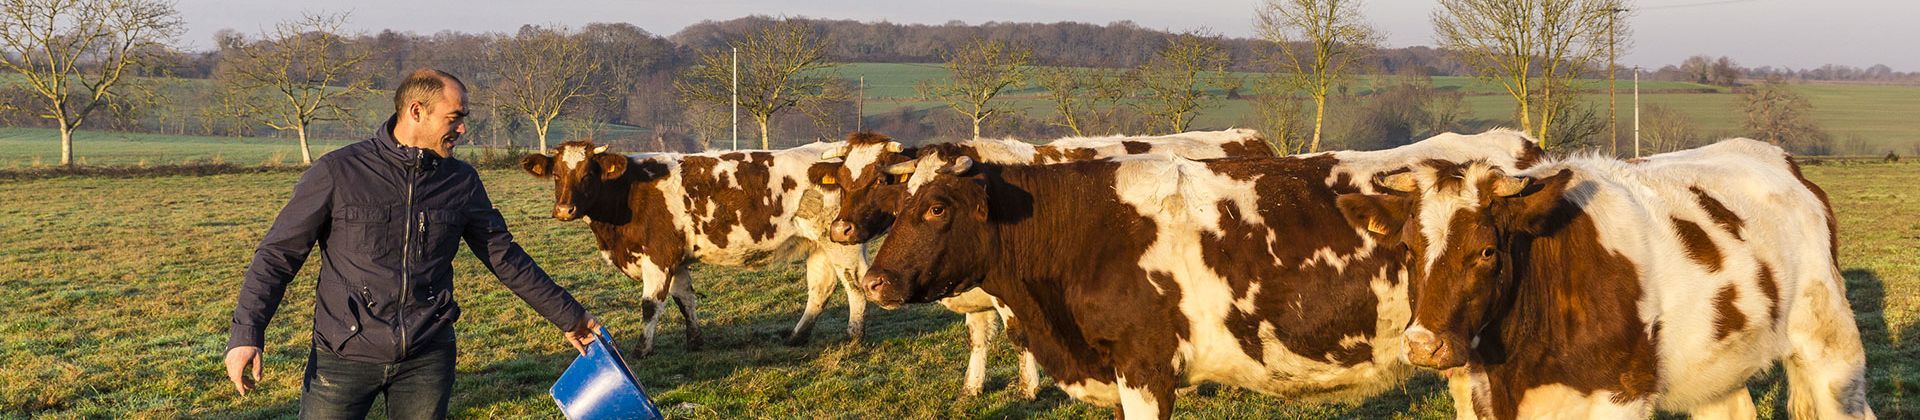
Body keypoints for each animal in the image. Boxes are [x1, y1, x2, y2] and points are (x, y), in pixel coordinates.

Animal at [520, 140, 867, 356]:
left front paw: (642, 349)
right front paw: (694, 341)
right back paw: (797, 336)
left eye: (588, 173)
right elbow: (685, 299)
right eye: (556, 174)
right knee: (821, 288)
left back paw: (854, 336)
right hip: (818, 245)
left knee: (855, 284)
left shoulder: (658, 256)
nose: (564, 209)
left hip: (841, 242)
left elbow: (651, 305)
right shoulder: (676, 259)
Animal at [804, 130, 1275, 398]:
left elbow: (1019, 338)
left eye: (879, 180)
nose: (841, 230)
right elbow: (978, 339)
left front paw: (1028, 388)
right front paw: (972, 388)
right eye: (841, 180)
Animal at [1337, 138, 1874, 419]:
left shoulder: (1621, 397)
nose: (1423, 345)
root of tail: (1777, 158)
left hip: (1830, 345)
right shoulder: (1488, 397)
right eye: (1408, 250)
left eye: (1487, 250)